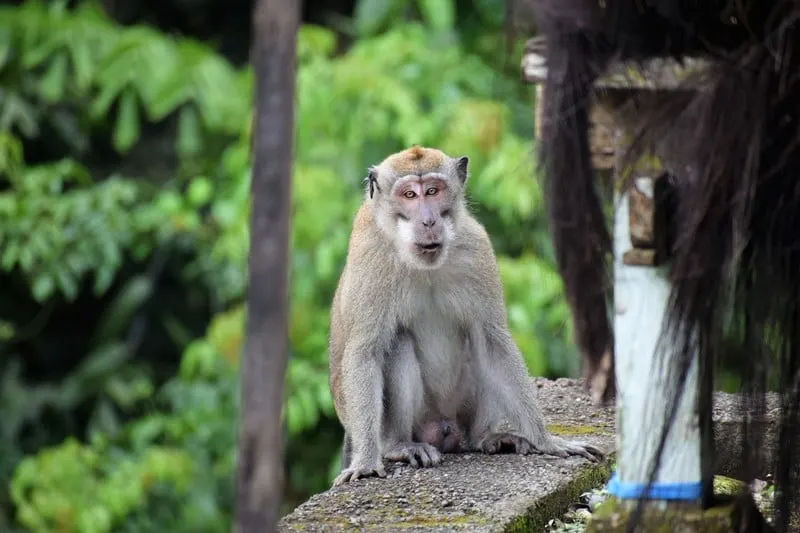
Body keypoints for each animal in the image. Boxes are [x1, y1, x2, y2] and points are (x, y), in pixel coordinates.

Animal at [328, 145, 604, 486]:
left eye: (433, 191)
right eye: (409, 195)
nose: (429, 220)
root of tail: (444, 429)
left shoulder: (476, 246)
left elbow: (492, 340)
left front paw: (547, 441)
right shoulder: (370, 255)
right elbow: (364, 351)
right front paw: (366, 462)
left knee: (478, 346)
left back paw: (484, 439)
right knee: (398, 343)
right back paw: (399, 446)